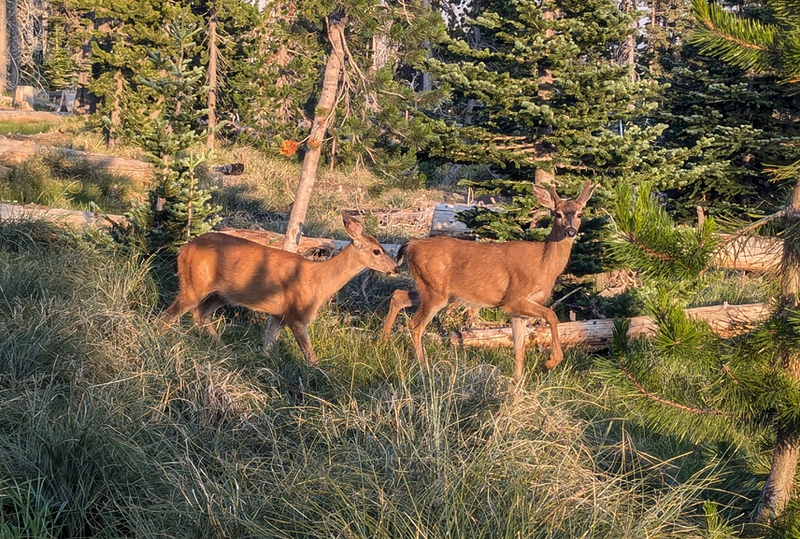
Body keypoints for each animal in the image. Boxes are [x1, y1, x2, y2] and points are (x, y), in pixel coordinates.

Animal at [162, 213, 400, 364]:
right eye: (377, 250)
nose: (396, 268)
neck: (319, 280)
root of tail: (184, 249)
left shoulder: (278, 315)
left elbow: (268, 345)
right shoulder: (297, 315)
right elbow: (311, 357)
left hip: (220, 293)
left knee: (200, 313)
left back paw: (224, 349)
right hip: (194, 284)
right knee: (168, 315)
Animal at [382, 179, 592, 378]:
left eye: (580, 214)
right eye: (557, 214)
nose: (570, 232)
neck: (544, 264)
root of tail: (412, 244)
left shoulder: (519, 311)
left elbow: (519, 348)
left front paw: (517, 381)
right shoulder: (513, 298)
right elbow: (552, 315)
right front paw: (550, 362)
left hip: (432, 290)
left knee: (398, 295)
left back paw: (383, 342)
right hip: (435, 291)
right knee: (415, 325)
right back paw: (423, 365)